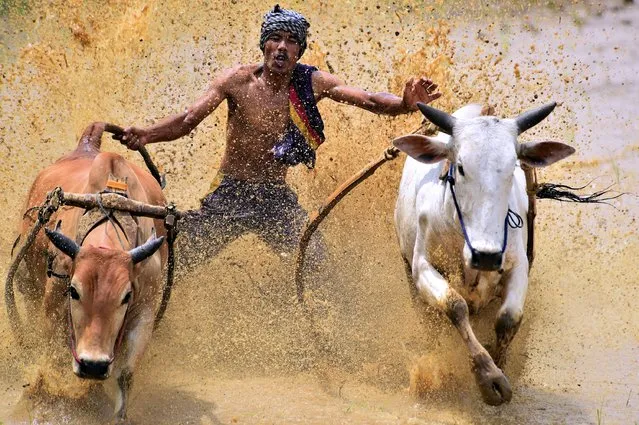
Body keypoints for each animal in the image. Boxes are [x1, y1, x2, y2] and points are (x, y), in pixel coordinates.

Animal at [14, 121, 168, 422]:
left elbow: (126, 374)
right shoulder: (53, 308)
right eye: (74, 291)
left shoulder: (145, 309)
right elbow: (51, 358)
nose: (93, 366)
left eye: (125, 297)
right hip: (28, 284)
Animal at [396, 101, 576, 402]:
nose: (487, 256)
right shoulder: (421, 267)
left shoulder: (518, 265)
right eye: (460, 167)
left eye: (512, 167)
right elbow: (455, 306)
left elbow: (509, 317)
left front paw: (499, 363)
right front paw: (488, 376)